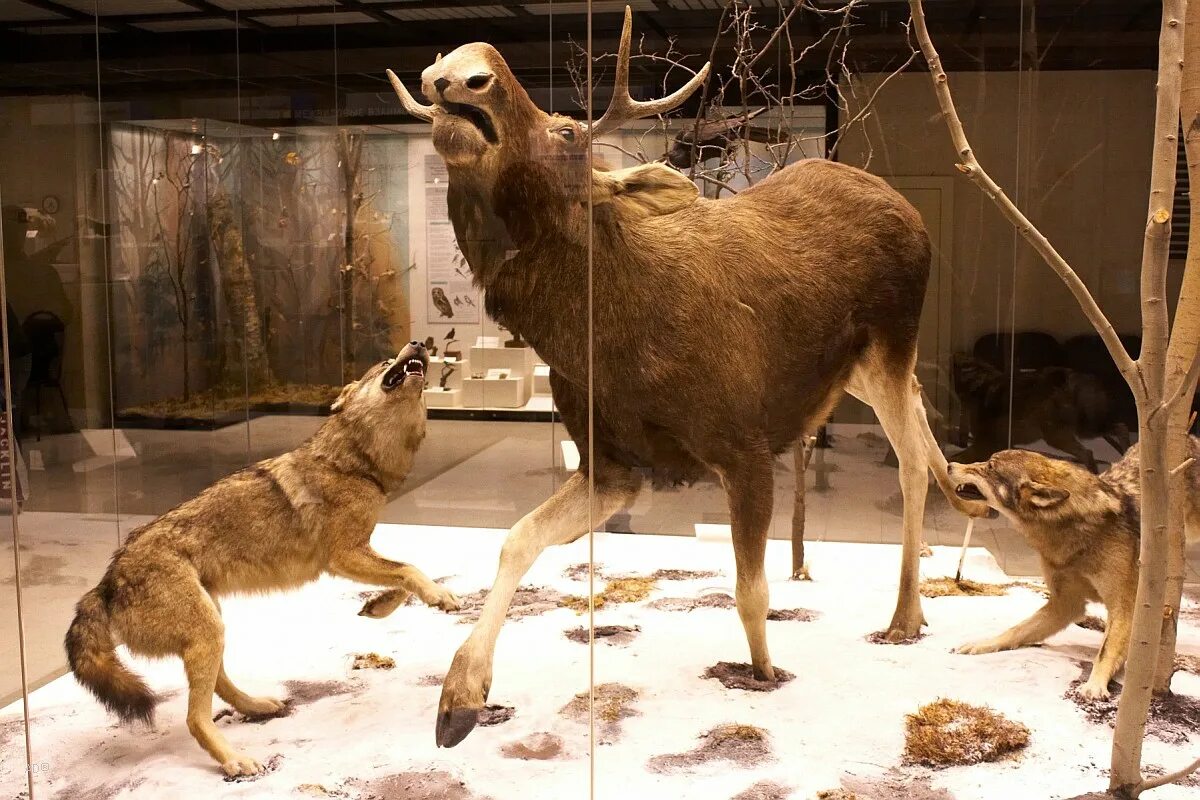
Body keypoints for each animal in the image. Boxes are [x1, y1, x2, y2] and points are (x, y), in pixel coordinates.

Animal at [65, 343, 458, 777]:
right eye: (386, 364)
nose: (420, 344)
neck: (353, 464)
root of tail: (104, 584)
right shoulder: (342, 557)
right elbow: (409, 569)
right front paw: (439, 596)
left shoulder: (358, 552)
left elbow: (402, 578)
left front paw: (380, 605)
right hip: (208, 631)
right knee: (194, 717)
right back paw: (235, 760)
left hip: (213, 626)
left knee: (219, 685)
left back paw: (257, 707)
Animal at [388, 6, 988, 748]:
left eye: (568, 133)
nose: (460, 70)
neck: (604, 341)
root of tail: (909, 209)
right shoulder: (612, 465)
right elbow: (515, 539)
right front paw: (461, 696)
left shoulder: (745, 449)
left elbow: (750, 592)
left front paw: (764, 671)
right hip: (856, 371)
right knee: (922, 411)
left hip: (890, 343)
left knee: (906, 457)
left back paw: (906, 613)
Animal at [945, 441, 1200, 695]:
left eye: (989, 466)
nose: (949, 465)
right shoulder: (1065, 604)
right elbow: (1014, 630)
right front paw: (981, 643)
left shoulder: (1125, 607)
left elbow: (1106, 649)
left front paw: (1094, 686)